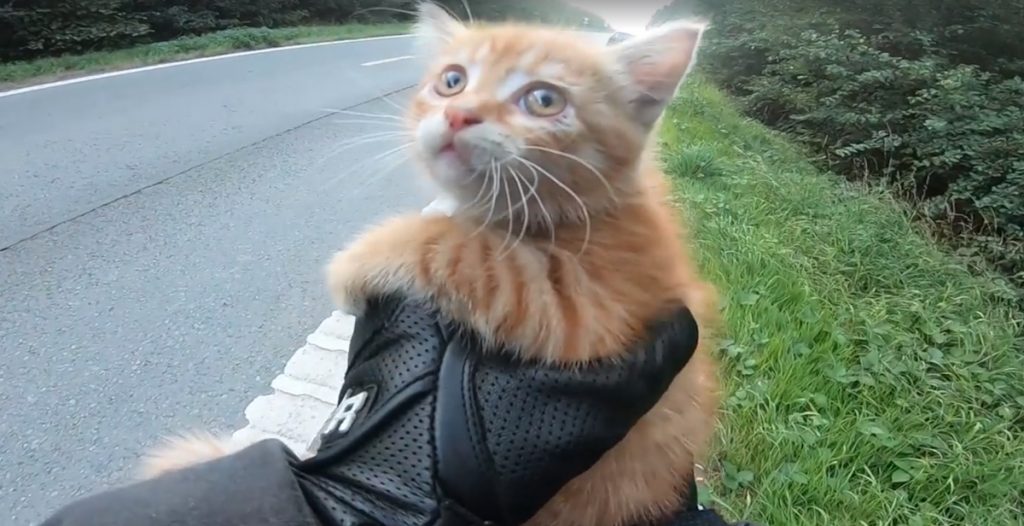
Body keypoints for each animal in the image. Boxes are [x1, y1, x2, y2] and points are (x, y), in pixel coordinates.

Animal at [140, 5, 720, 523]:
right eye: (452, 81)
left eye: (543, 99)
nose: (459, 114)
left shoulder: (589, 309)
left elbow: (458, 245)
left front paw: (357, 262)